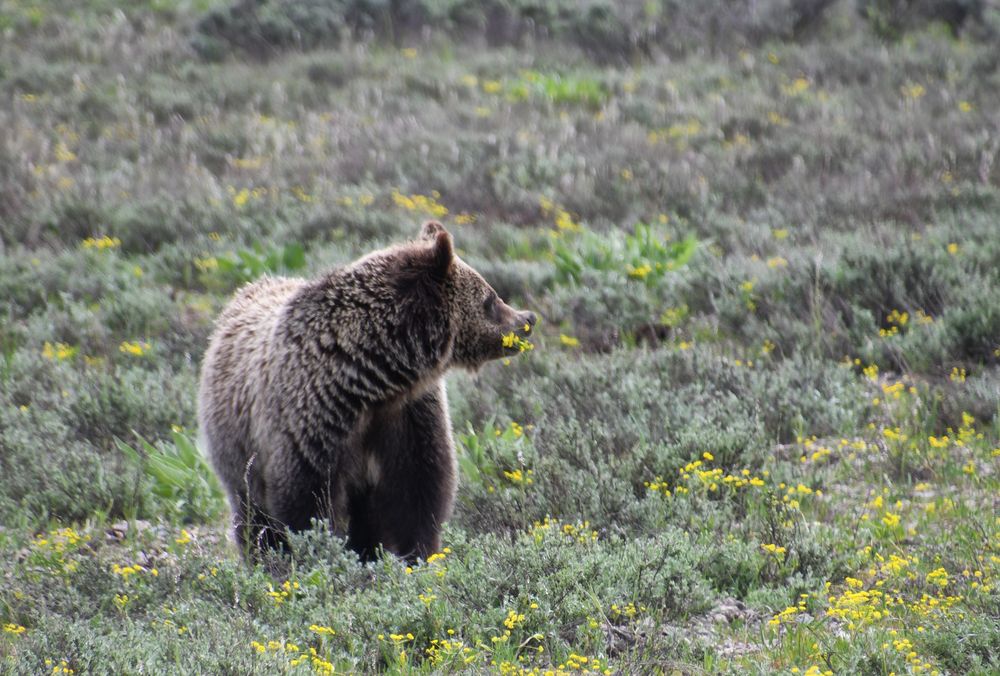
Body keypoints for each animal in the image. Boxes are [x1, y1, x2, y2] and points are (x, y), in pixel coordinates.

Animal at [198, 223, 536, 564]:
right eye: (490, 298)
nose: (528, 319)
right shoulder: (309, 423)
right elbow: (306, 502)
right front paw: (317, 553)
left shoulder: (409, 417)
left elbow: (417, 491)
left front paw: (417, 555)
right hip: (237, 448)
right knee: (252, 512)